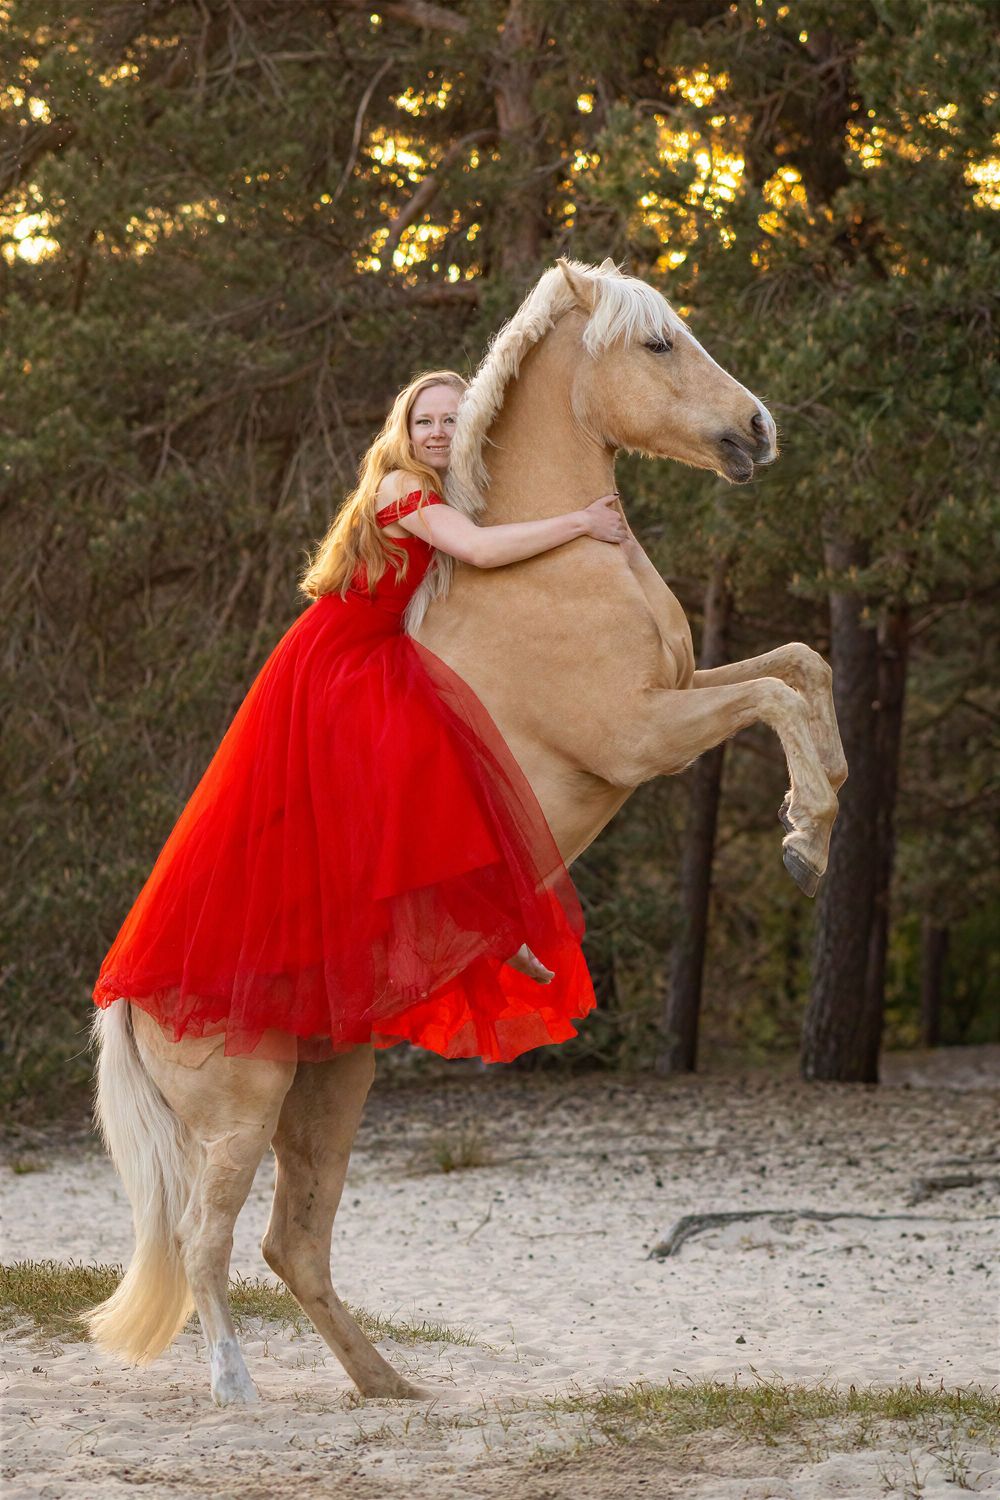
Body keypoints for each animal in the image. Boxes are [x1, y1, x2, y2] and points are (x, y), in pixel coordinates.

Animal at [86, 257, 846, 1406]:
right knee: (206, 1242)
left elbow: (801, 666)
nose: (757, 429)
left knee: (291, 1245)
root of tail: (131, 996)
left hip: (330, 1084)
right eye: (657, 344)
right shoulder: (642, 734)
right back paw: (236, 1386)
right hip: (240, 1113)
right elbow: (773, 696)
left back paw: (389, 1387)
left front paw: (829, 797)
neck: (544, 564)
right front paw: (807, 838)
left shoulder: (680, 690)